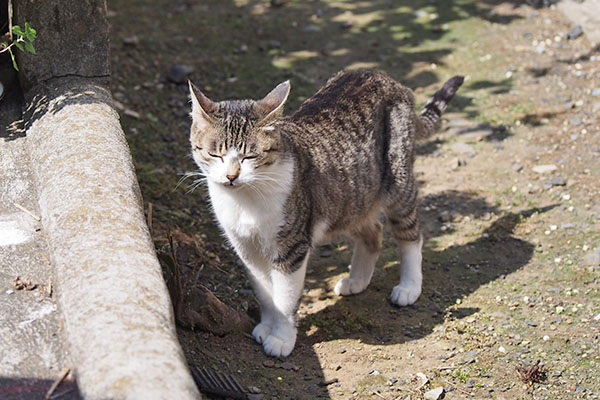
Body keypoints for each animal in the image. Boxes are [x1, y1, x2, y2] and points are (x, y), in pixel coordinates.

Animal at [188, 70, 464, 358]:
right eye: (215, 154)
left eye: (249, 157)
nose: (231, 176)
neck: (245, 200)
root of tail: (386, 78)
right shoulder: (246, 249)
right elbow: (265, 294)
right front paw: (266, 326)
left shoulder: (291, 246)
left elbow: (284, 300)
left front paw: (281, 339)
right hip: (350, 197)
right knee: (373, 232)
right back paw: (356, 281)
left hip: (396, 181)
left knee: (411, 234)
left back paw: (409, 287)